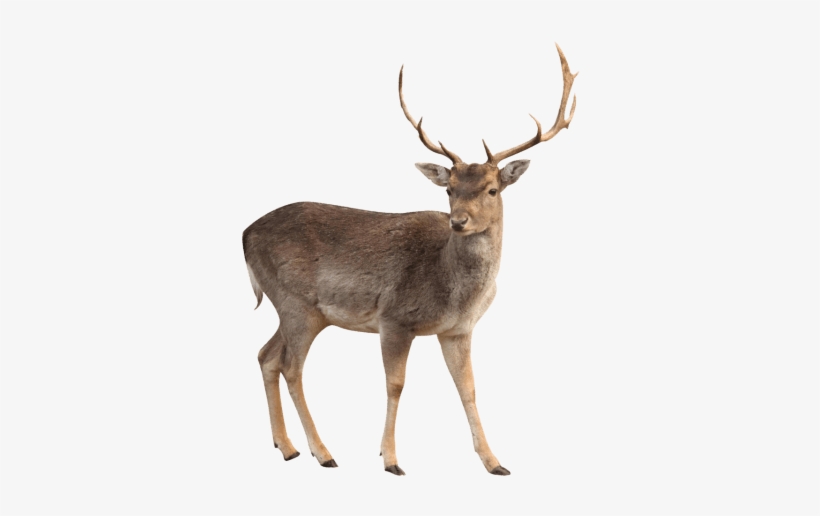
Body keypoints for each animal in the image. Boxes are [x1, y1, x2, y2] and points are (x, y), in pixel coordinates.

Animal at [242, 44, 577, 476]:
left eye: (492, 189)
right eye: (449, 189)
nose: (458, 221)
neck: (455, 290)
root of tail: (244, 234)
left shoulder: (458, 330)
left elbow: (468, 387)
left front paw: (494, 462)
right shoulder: (395, 318)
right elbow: (395, 385)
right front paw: (390, 459)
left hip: (299, 310)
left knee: (266, 355)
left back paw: (287, 447)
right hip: (296, 303)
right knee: (290, 366)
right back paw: (323, 452)